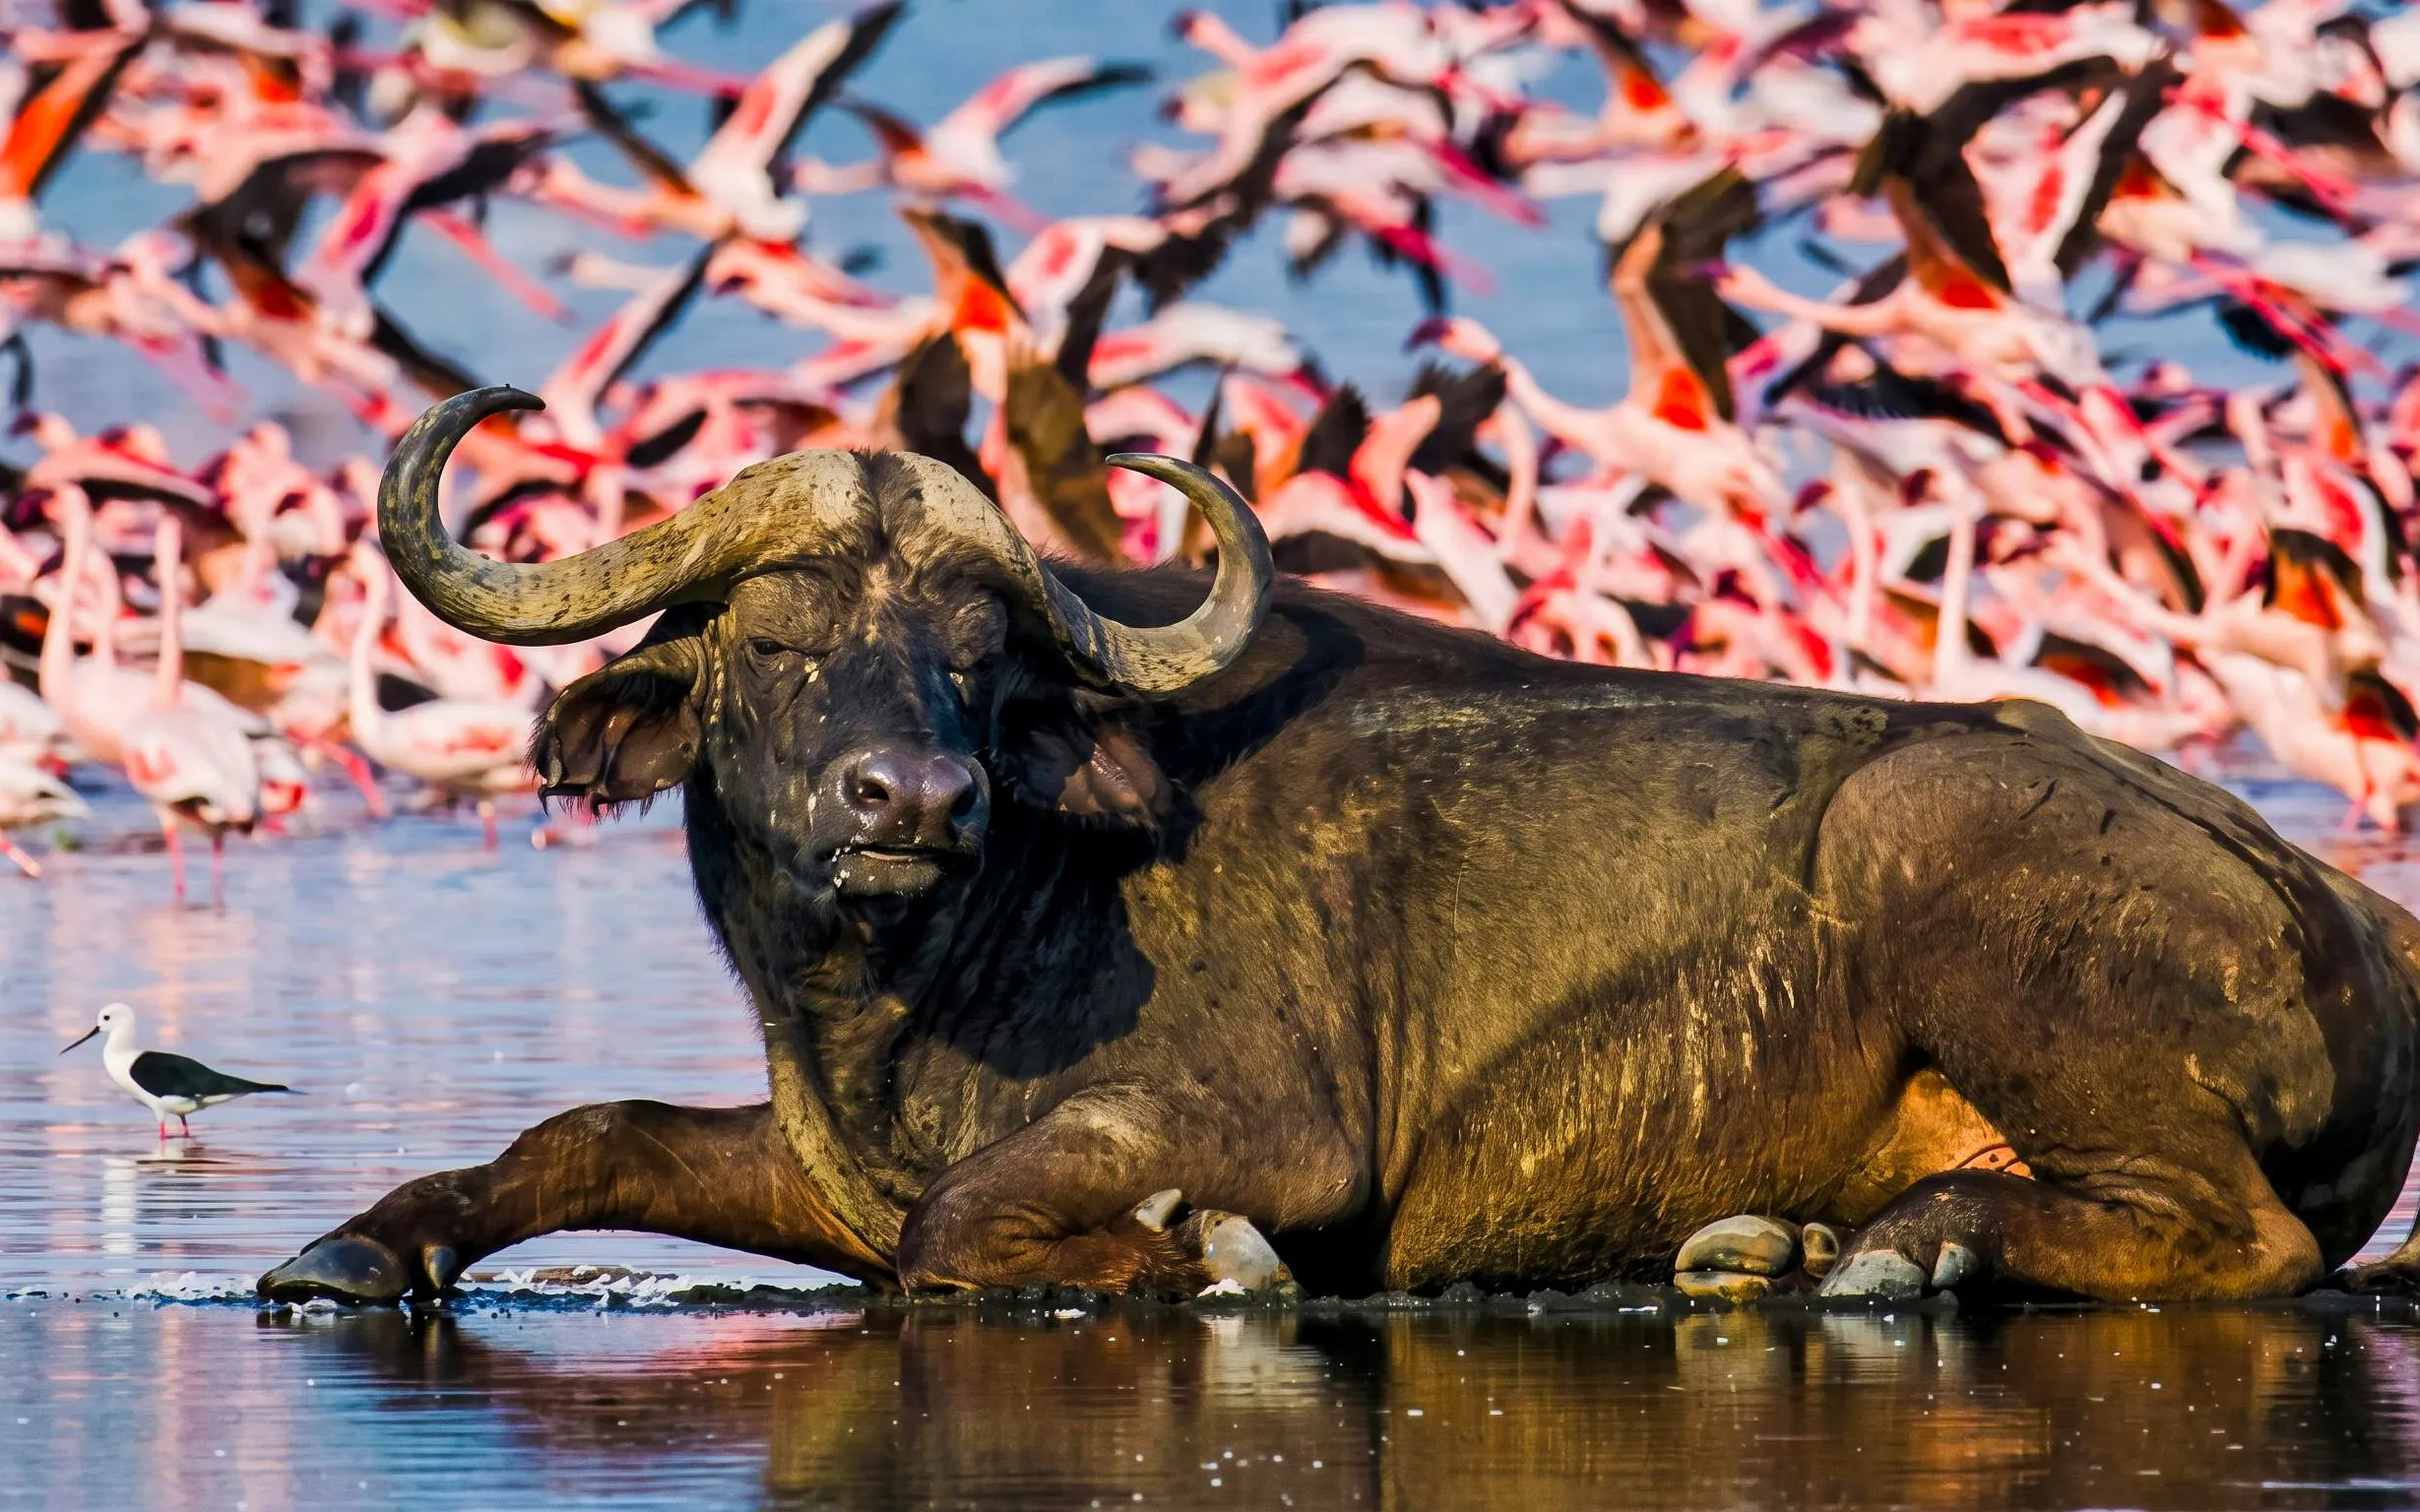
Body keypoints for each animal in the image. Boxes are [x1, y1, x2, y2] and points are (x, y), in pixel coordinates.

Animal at [264, 386, 2420, 1305]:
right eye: (772, 641)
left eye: (972, 659)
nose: (911, 803)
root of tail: (2344, 911)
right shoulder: (824, 1170)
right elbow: (586, 1134)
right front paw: (355, 1248)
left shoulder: (1260, 1133)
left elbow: (975, 1237)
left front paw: (1184, 1266)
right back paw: (1788, 1244)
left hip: (1950, 860)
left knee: (2239, 1244)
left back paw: (1897, 1258)